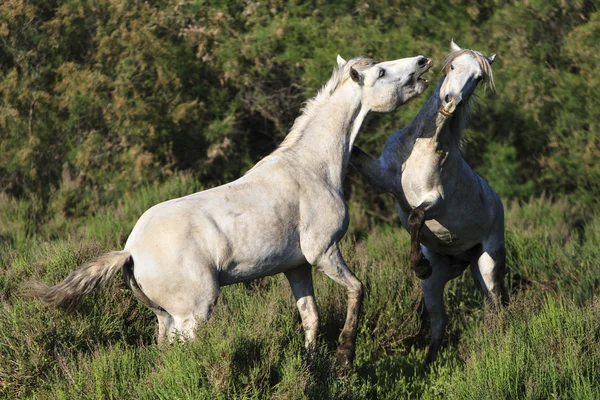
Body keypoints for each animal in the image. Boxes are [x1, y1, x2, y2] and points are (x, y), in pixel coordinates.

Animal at [27, 53, 432, 368]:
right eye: (381, 72)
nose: (422, 62)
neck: (310, 168)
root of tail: (130, 251)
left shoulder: (298, 268)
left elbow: (311, 319)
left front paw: (312, 365)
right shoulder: (324, 252)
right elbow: (357, 291)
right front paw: (345, 358)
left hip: (165, 319)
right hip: (194, 314)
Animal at [350, 41, 508, 366]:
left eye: (478, 78)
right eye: (452, 67)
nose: (450, 102)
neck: (422, 148)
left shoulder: (435, 201)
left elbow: (415, 218)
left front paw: (419, 265)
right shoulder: (381, 178)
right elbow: (355, 155)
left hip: (487, 264)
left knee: (493, 309)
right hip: (437, 285)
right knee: (439, 322)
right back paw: (426, 366)